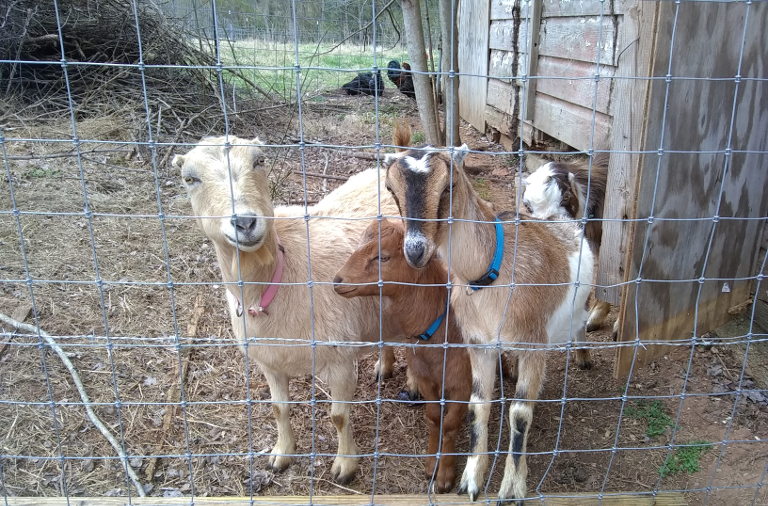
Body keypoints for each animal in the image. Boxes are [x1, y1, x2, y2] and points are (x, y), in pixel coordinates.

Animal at [174, 136, 398, 484]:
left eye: (260, 161)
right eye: (190, 179)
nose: (245, 222)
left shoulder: (339, 360)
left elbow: (338, 416)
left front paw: (345, 466)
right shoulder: (269, 360)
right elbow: (278, 408)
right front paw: (282, 454)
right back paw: (383, 366)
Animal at [333, 219, 471, 493]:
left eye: (383, 256)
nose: (338, 280)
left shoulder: (463, 383)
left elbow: (451, 425)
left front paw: (445, 476)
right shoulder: (426, 378)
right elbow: (434, 417)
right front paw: (431, 465)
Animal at [383, 123, 594, 502]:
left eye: (448, 185)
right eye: (391, 189)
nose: (416, 250)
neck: (491, 272)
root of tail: (556, 217)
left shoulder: (534, 344)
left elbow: (520, 413)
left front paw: (512, 487)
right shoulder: (478, 343)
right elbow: (477, 405)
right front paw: (470, 480)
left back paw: (583, 355)